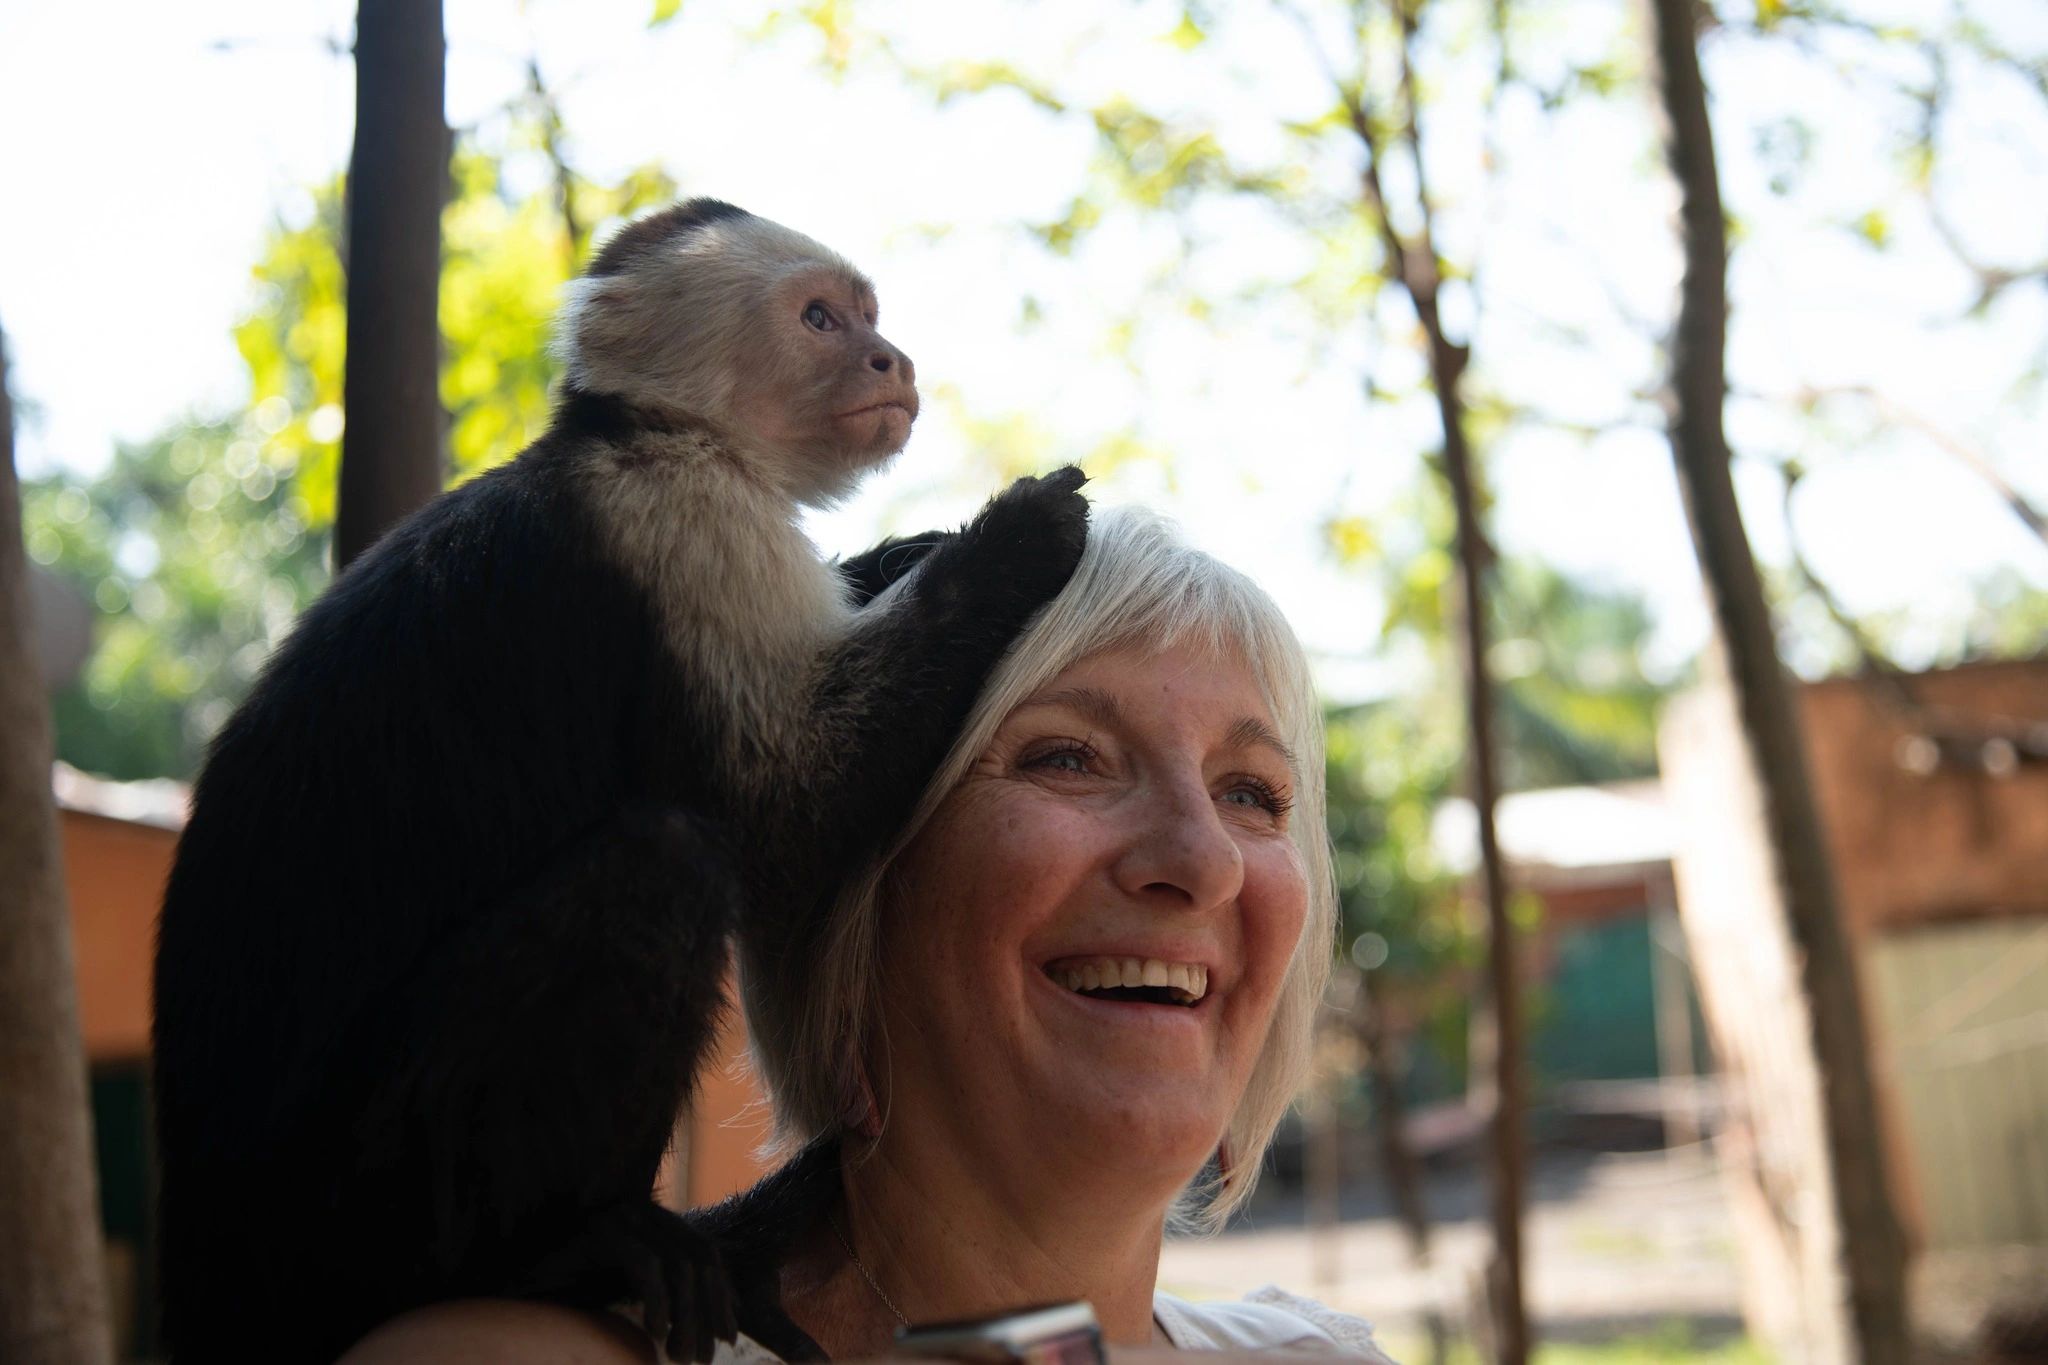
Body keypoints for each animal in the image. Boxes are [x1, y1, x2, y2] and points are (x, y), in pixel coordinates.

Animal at [149, 197, 1089, 1365]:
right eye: (820, 320)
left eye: (869, 318)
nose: (894, 358)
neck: (642, 430)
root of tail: (204, 1280)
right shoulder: (681, 521)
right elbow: (787, 811)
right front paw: (1012, 537)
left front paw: (897, 555)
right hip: (350, 1209)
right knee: (663, 865)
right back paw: (564, 1252)